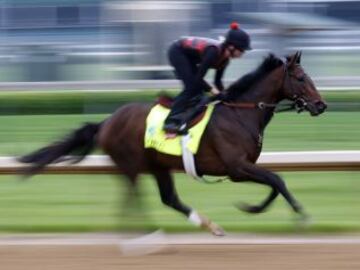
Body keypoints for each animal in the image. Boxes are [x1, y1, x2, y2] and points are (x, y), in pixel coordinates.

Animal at [19, 51, 326, 235]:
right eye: (301, 78)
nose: (321, 105)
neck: (240, 113)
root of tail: (106, 122)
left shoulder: (242, 168)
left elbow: (274, 183)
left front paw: (252, 208)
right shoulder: (237, 167)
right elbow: (277, 180)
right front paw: (298, 215)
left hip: (158, 166)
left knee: (168, 199)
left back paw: (208, 225)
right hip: (131, 164)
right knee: (132, 197)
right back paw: (143, 233)